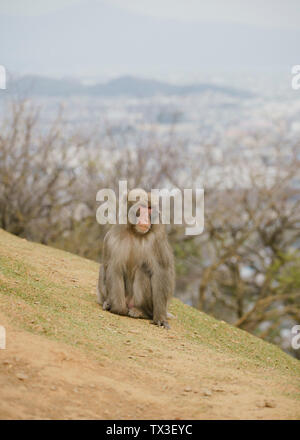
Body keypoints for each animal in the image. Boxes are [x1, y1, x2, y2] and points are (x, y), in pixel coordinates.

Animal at [97, 189, 175, 326]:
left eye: (150, 209)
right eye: (142, 208)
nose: (145, 219)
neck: (135, 232)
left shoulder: (158, 238)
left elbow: (161, 272)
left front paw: (160, 318)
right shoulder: (114, 236)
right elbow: (114, 267)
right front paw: (118, 308)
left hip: (146, 304)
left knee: (143, 270)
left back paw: (141, 311)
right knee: (103, 268)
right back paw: (108, 303)